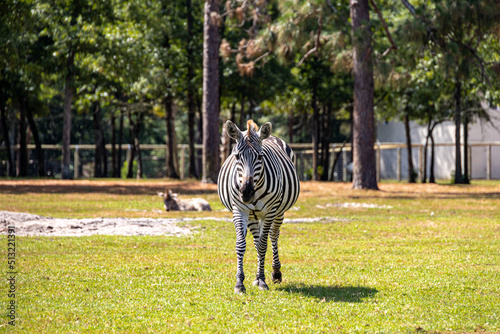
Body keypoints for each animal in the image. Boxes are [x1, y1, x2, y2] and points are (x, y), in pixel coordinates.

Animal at [217, 118, 298, 294]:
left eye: (260, 157)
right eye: (237, 156)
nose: (247, 193)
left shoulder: (270, 211)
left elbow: (262, 245)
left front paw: (262, 280)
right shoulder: (239, 209)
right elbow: (241, 245)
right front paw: (240, 283)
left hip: (278, 212)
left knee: (272, 236)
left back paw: (275, 273)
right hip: (253, 215)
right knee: (256, 239)